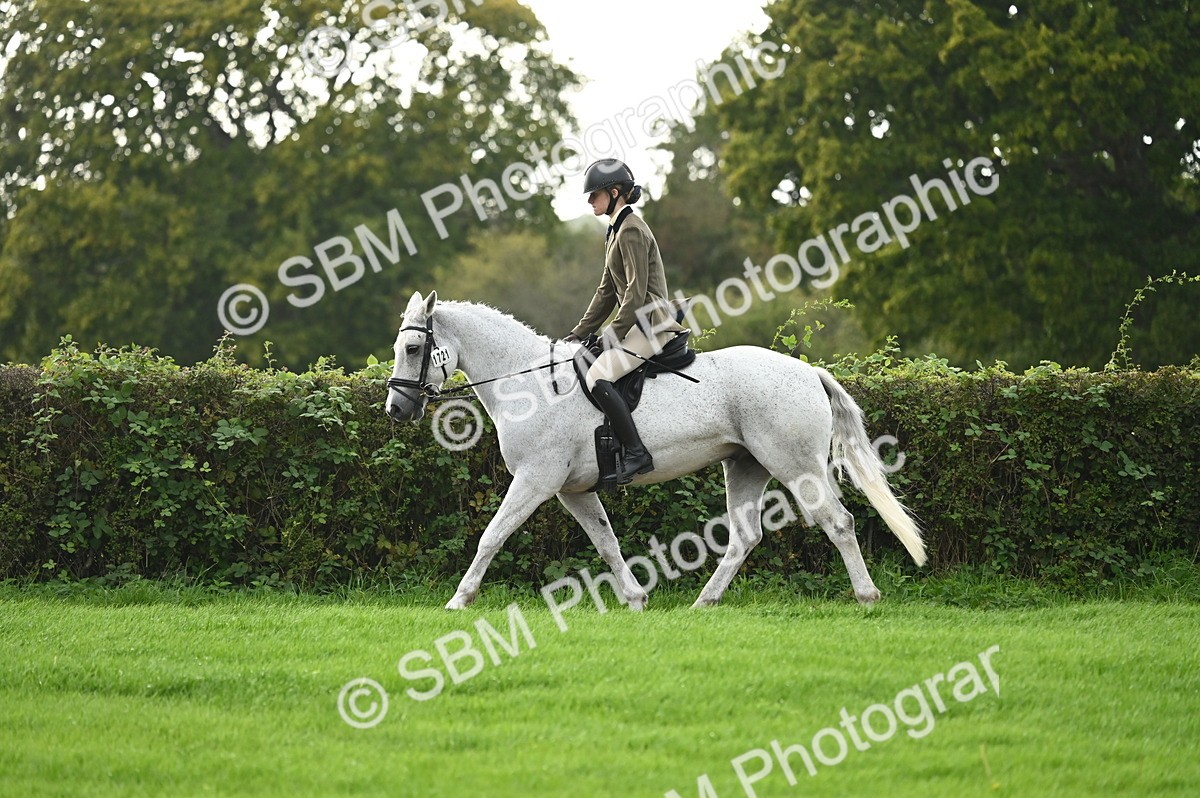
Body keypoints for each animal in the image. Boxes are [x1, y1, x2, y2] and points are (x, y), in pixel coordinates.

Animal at [385, 291, 925, 611]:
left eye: (412, 350)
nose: (395, 408)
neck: (530, 384)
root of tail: (809, 371)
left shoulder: (535, 481)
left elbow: (491, 537)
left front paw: (459, 600)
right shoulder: (572, 491)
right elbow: (606, 542)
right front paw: (635, 598)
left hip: (794, 465)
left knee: (838, 522)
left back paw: (866, 595)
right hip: (745, 466)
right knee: (745, 536)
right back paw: (704, 602)